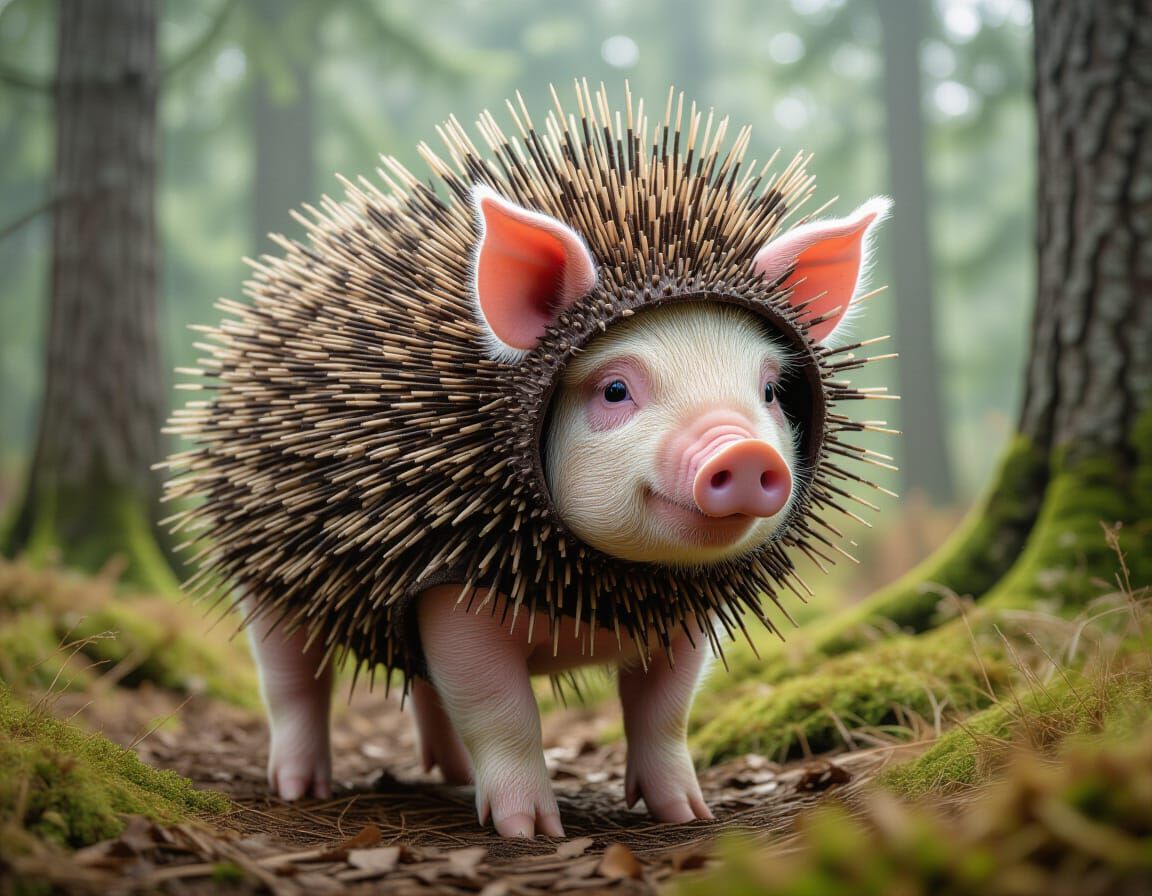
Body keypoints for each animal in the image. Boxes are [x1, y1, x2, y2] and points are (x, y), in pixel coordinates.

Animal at [244, 186, 890, 838]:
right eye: (614, 390)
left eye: (769, 391)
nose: (747, 452)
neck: (599, 595)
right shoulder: (445, 578)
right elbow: (497, 705)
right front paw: (529, 831)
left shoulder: (686, 607)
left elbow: (667, 708)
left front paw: (688, 815)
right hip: (266, 568)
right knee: (290, 680)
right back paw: (300, 789)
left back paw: (452, 775)